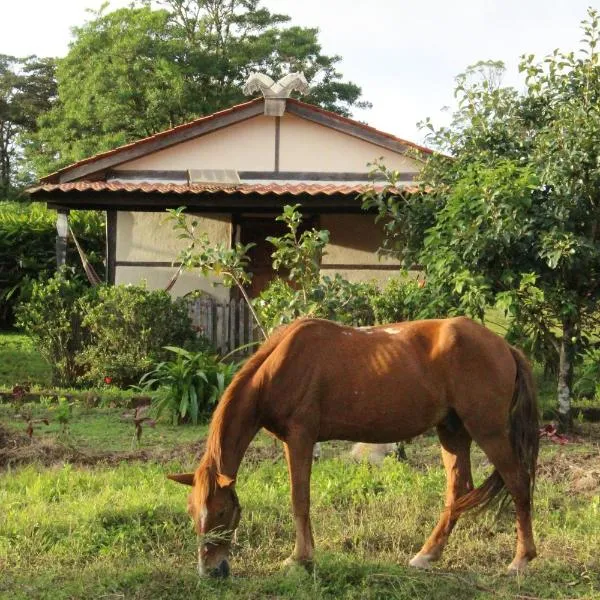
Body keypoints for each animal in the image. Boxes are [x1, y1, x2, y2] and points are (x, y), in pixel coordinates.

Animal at [169, 318, 540, 576]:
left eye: (220, 512)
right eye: (191, 511)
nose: (209, 571)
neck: (280, 366)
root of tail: (504, 347)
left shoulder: (300, 438)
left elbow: (299, 500)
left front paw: (300, 559)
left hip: (488, 429)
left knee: (518, 483)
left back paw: (521, 560)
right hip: (452, 430)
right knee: (458, 491)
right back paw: (427, 555)